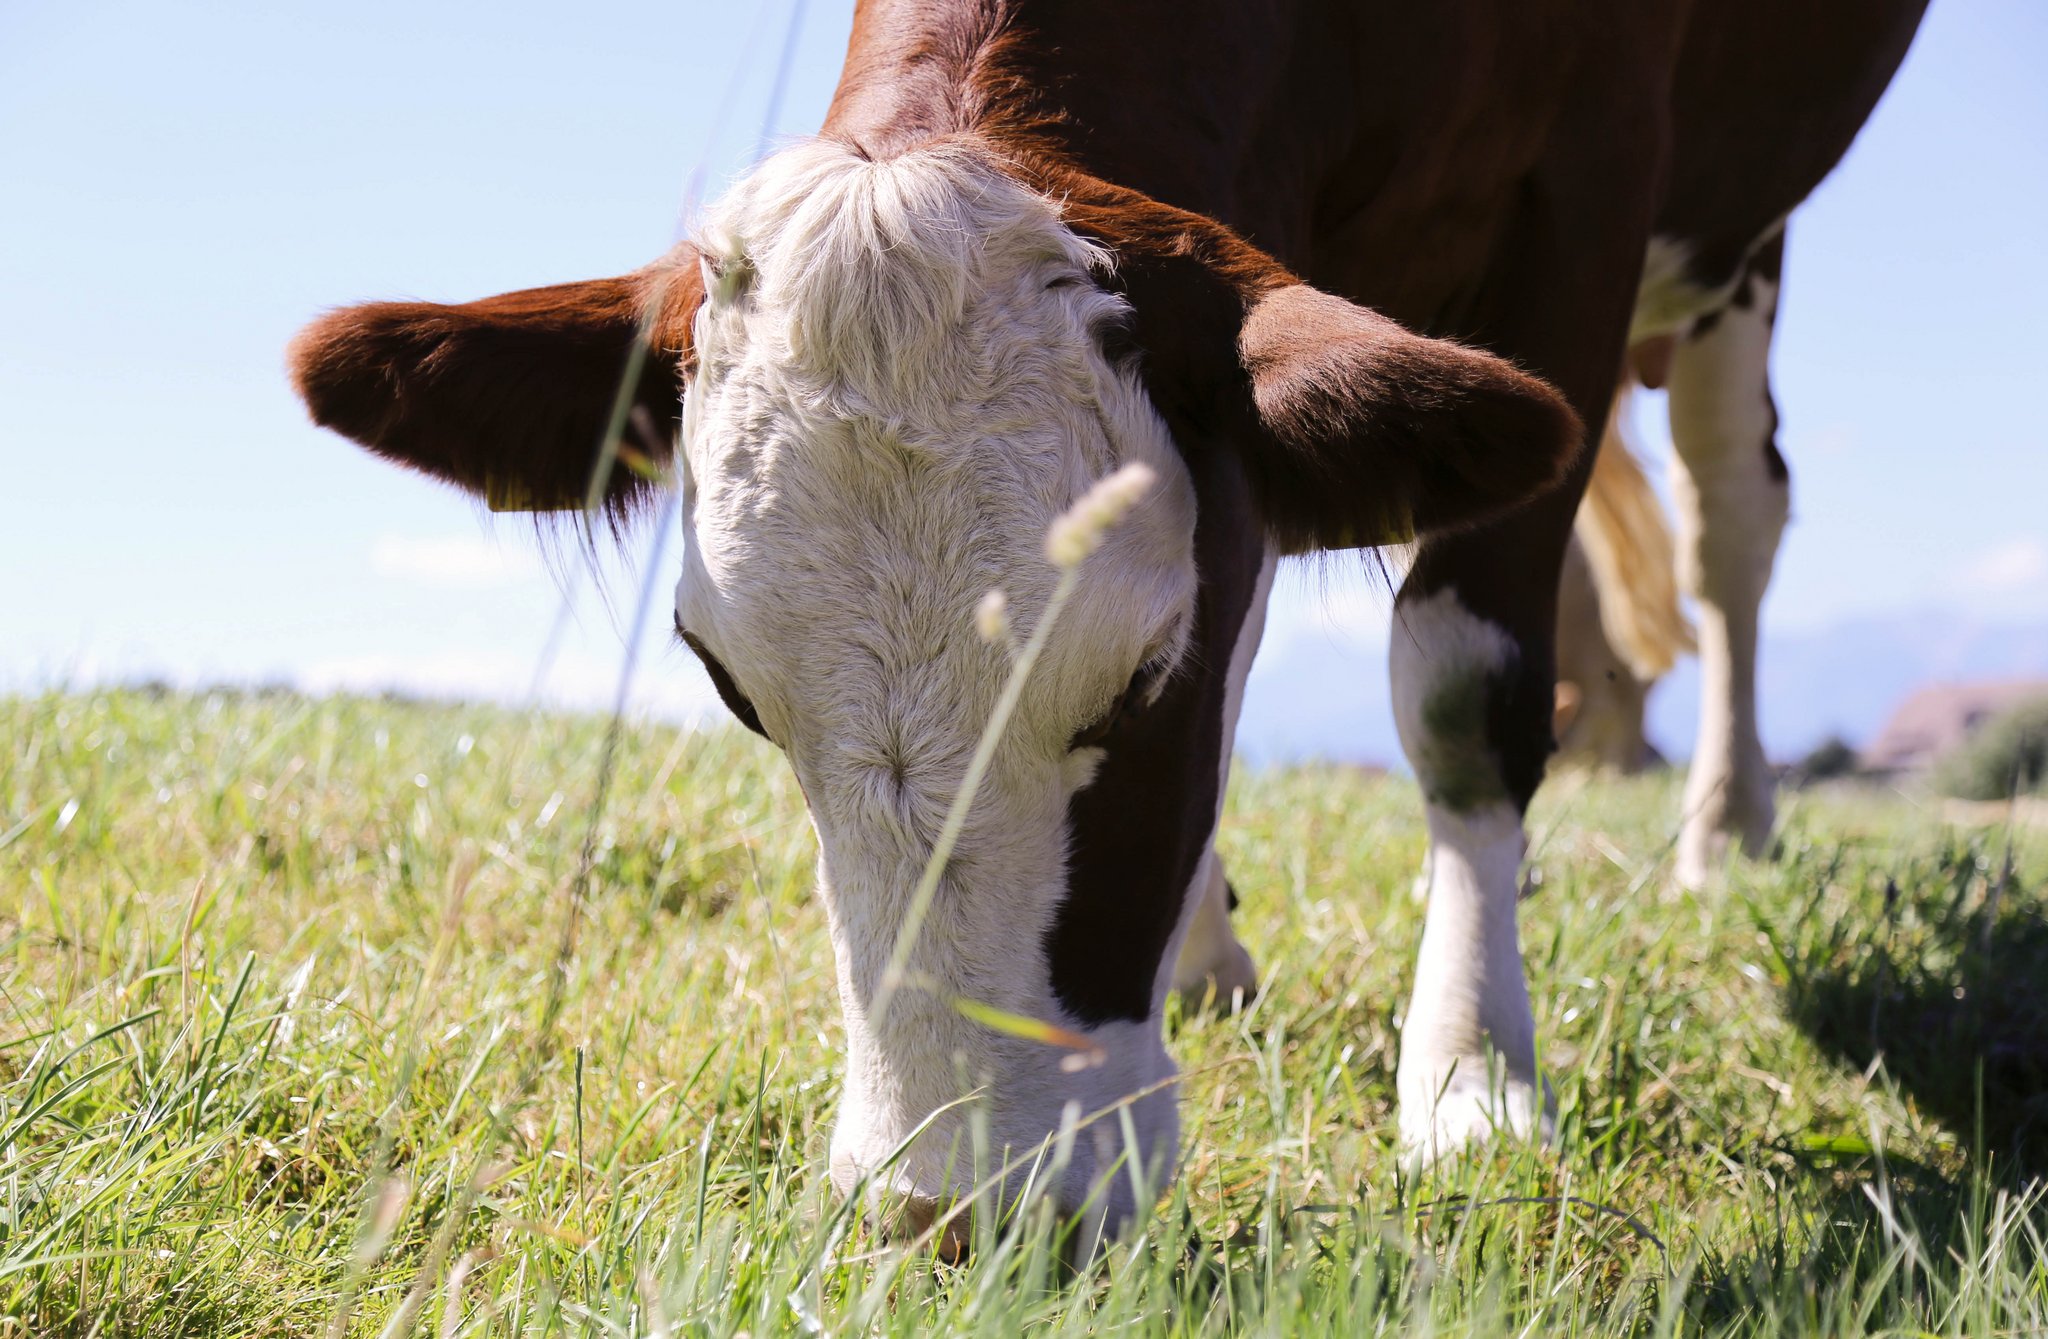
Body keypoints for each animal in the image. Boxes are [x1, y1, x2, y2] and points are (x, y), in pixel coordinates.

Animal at [289, 0, 1928, 1247]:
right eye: (733, 687)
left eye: (1147, 678)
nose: (957, 1211)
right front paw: (1216, 947)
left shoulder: (1582, 192)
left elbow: (1466, 681)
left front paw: (1470, 1075)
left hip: (1732, 232)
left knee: (1731, 515)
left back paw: (1726, 825)